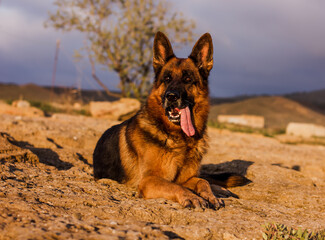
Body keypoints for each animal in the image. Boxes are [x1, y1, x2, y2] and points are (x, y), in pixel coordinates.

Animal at [93, 32, 243, 210]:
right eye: (167, 78)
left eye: (187, 79)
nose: (171, 97)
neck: (180, 138)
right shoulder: (149, 181)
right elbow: (175, 186)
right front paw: (192, 197)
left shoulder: (186, 178)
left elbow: (202, 181)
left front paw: (210, 195)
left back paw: (221, 189)